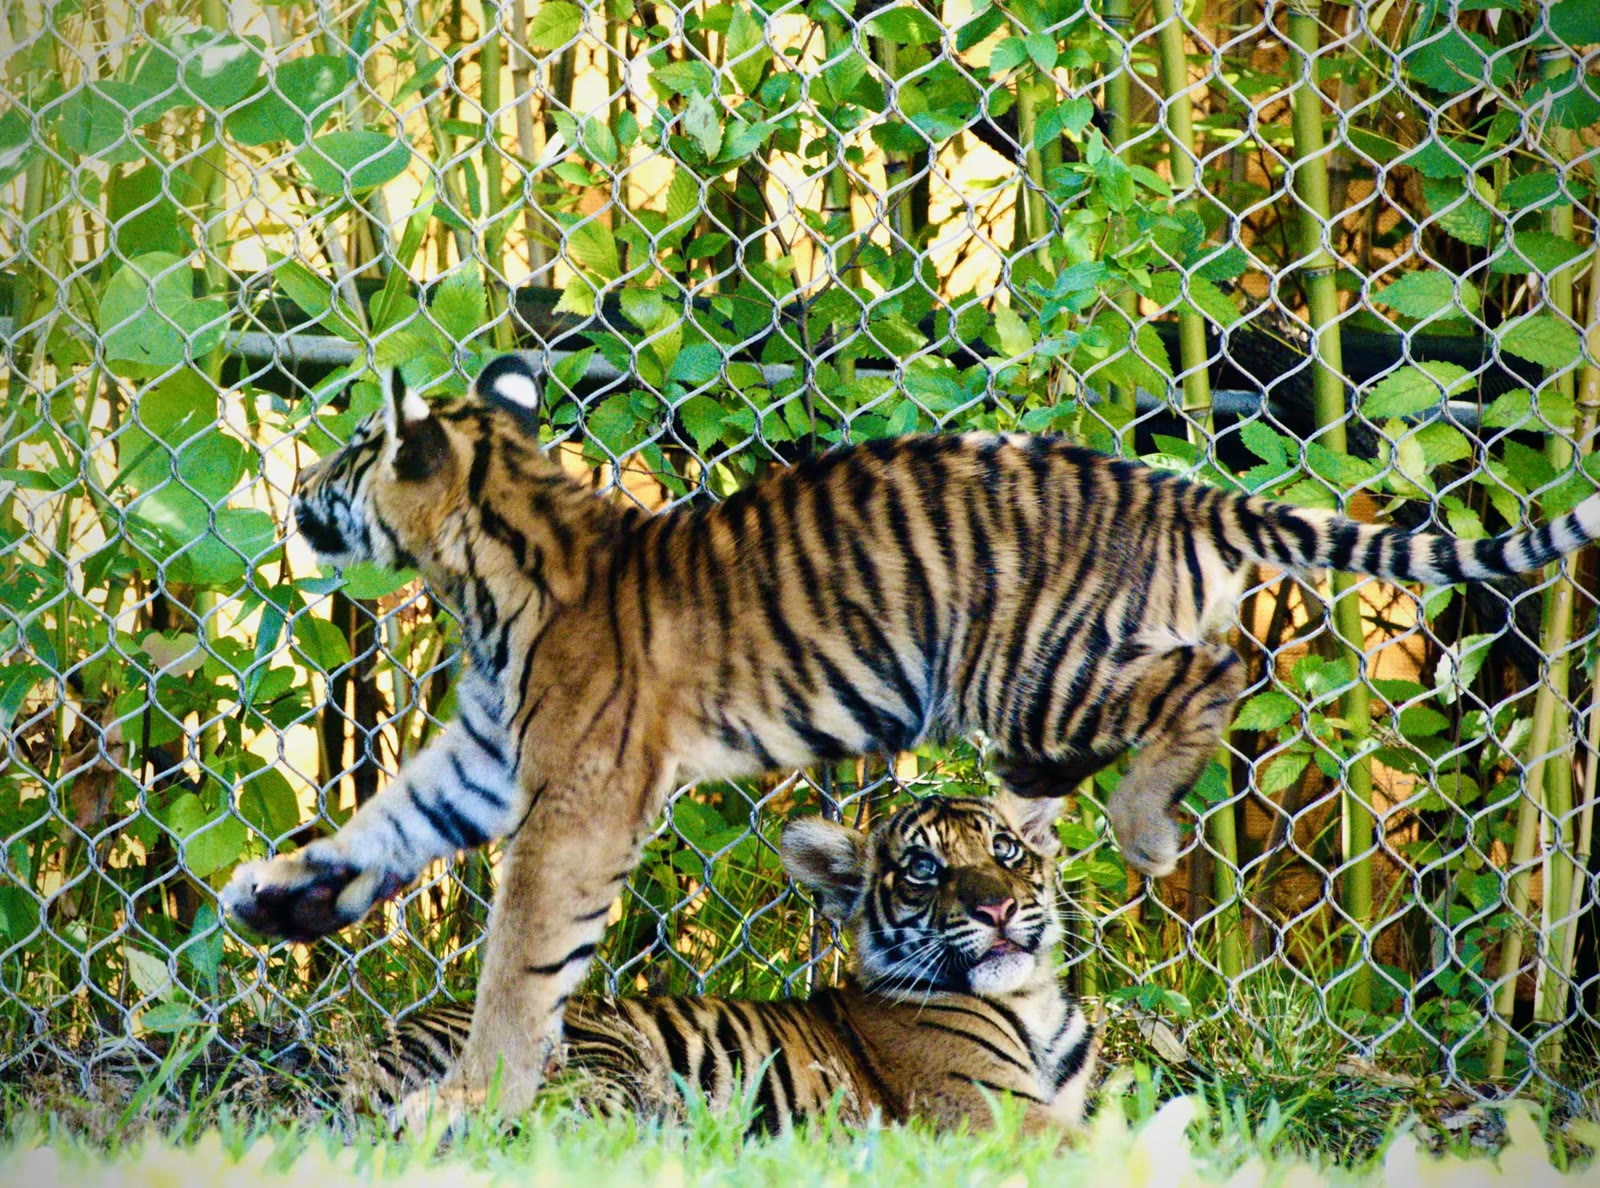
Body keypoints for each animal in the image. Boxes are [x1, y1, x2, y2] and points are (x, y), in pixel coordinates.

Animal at [358, 794, 1095, 1137]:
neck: (1033, 1003)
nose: (996, 908)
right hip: (612, 1068)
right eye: (922, 869)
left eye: (1005, 849)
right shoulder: (997, 1112)